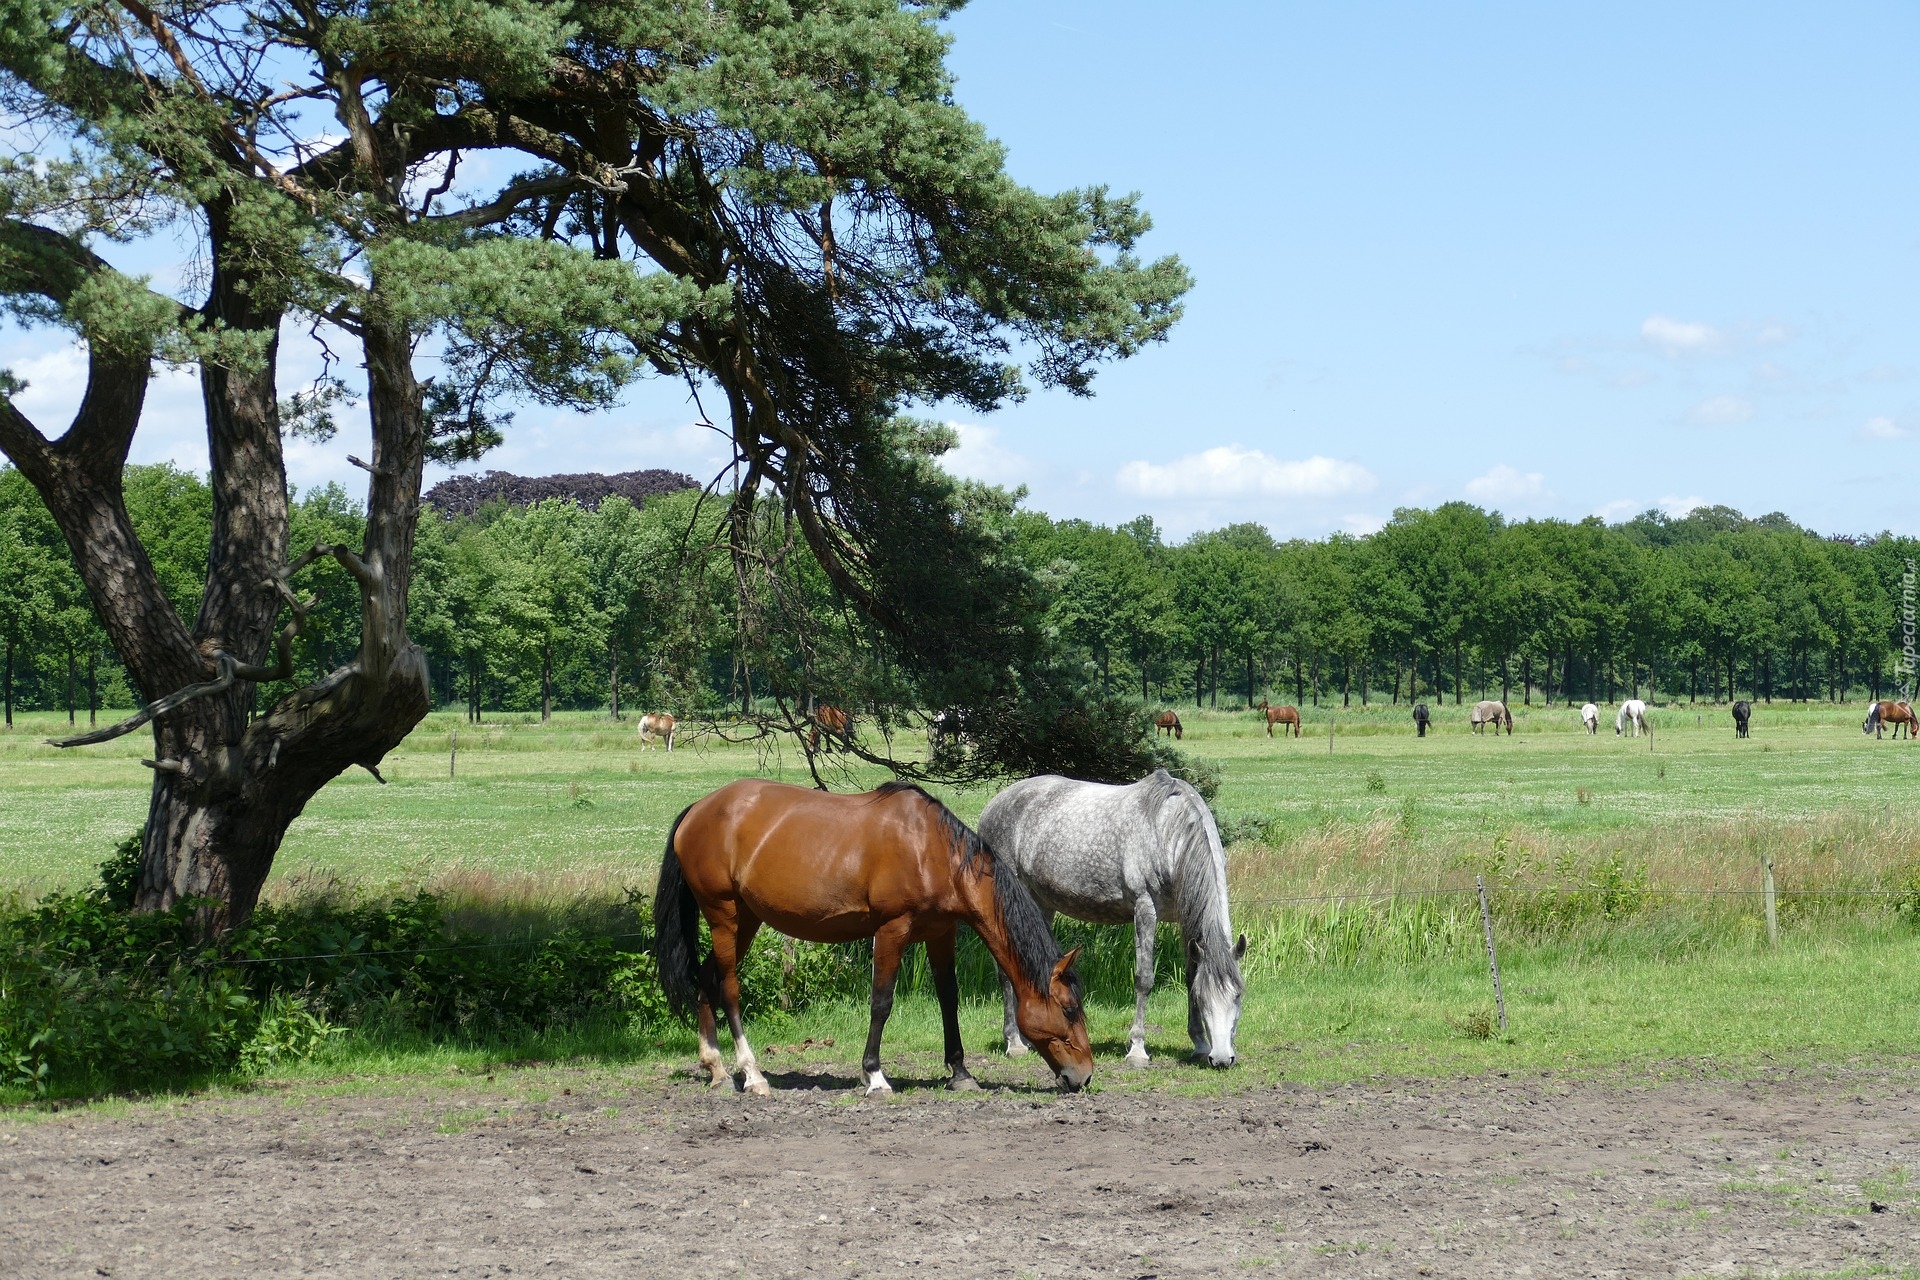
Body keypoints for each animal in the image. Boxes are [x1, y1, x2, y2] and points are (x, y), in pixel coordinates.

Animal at [652, 775, 1090, 1097]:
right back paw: (753, 1074)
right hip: (723, 916)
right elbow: (881, 1002)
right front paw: (875, 1076)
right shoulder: (891, 930)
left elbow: (948, 998)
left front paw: (961, 1072)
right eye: (1069, 1009)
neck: (931, 850)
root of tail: (698, 809)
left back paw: (716, 1069)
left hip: (746, 919)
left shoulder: (941, 932)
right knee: (728, 988)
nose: (1084, 1076)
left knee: (707, 979)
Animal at [975, 771, 1244, 1074]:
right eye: (1204, 999)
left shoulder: (1184, 918)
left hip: (1040, 903)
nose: (1221, 1058)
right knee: (1004, 971)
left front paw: (1199, 1044)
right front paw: (1137, 1049)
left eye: (1238, 995)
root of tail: (993, 806)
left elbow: (1190, 974)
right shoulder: (1145, 909)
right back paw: (1014, 1044)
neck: (1167, 830)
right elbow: (1144, 979)